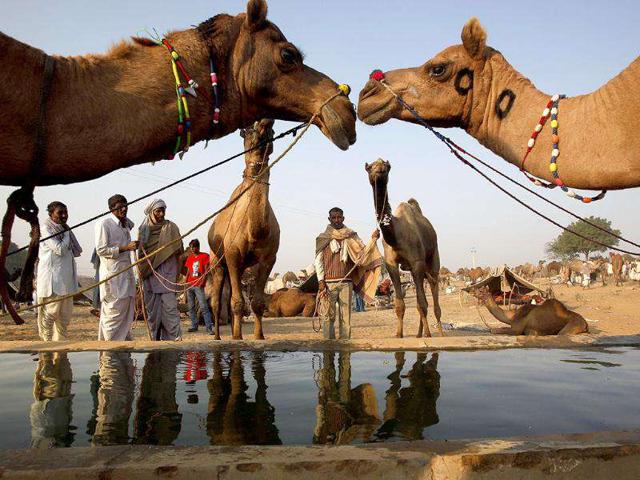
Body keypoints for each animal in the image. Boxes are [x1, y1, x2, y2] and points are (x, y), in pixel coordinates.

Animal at [208, 119, 279, 340]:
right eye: (247, 132)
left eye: (273, 131)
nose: (266, 120)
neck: (255, 230)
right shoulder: (231, 255)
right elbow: (238, 303)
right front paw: (238, 337)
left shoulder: (268, 259)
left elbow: (257, 302)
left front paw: (258, 336)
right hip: (217, 261)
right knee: (217, 302)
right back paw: (218, 336)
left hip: (239, 268)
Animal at [365, 159, 443, 337]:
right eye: (370, 167)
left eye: (386, 167)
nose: (379, 171)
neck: (396, 235)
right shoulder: (392, 264)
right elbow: (400, 304)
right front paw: (399, 334)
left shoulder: (417, 262)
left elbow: (422, 304)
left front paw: (429, 335)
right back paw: (419, 333)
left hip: (433, 258)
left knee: (433, 288)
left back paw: (439, 332)